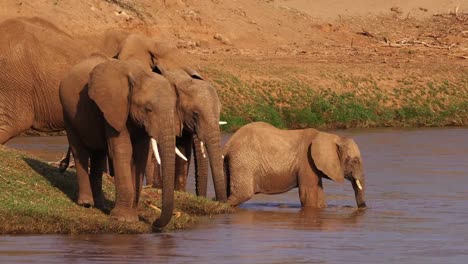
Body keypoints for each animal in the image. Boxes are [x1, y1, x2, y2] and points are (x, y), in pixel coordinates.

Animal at [59, 55, 179, 227]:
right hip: (67, 112)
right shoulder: (114, 108)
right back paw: (86, 204)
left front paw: (132, 217)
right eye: (148, 109)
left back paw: (100, 206)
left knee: (98, 154)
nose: (155, 223)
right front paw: (122, 218)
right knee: (79, 150)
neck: (139, 74)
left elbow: (140, 155)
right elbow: (123, 150)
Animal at [221, 122, 368, 209]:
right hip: (243, 162)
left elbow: (319, 195)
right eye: (355, 161)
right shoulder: (306, 162)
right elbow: (308, 195)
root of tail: (228, 144)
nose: (363, 207)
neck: (330, 137)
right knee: (242, 195)